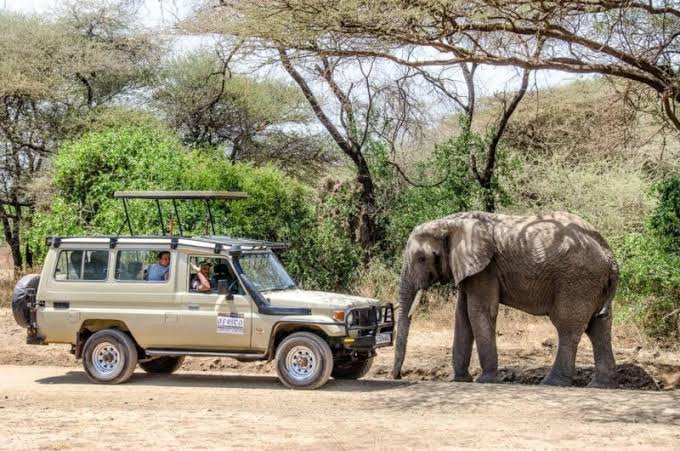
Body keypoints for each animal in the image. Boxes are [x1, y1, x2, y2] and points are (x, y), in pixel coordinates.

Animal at [393, 211, 619, 388]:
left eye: (422, 258)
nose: (397, 376)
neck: (449, 223)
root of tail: (610, 256)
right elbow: (462, 315)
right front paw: (459, 380)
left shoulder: (485, 269)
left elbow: (479, 311)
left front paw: (485, 380)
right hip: (593, 284)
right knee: (599, 327)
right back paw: (600, 385)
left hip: (577, 280)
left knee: (568, 327)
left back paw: (552, 383)